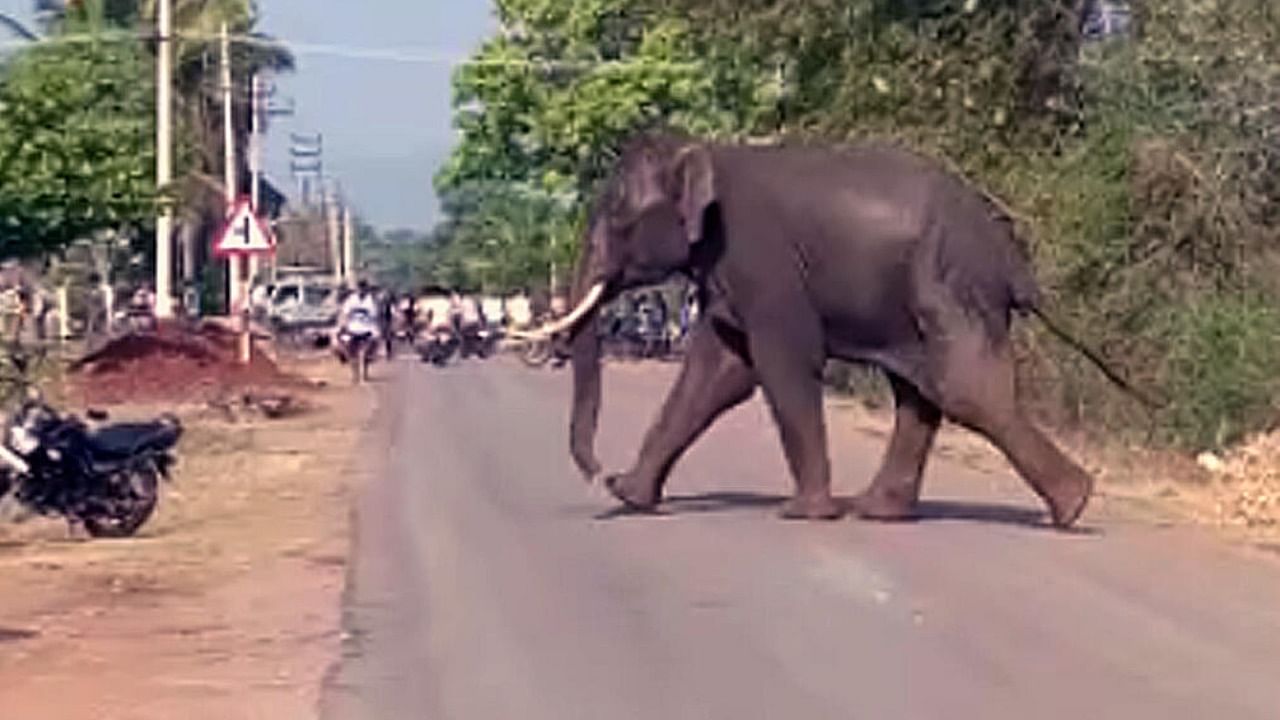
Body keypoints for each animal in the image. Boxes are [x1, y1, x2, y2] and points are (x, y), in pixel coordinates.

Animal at [540, 133, 1100, 527]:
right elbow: (717, 376)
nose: (597, 472)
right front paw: (629, 496)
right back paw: (880, 512)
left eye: (617, 219)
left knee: (963, 391)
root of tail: (1011, 259)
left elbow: (780, 365)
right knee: (919, 393)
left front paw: (804, 514)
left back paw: (1074, 506)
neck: (705, 149)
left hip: (952, 283)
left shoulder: (764, 264)